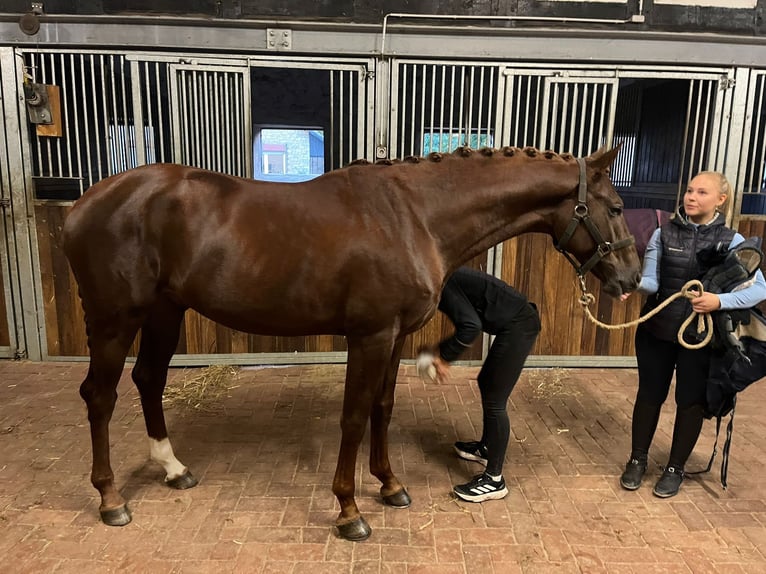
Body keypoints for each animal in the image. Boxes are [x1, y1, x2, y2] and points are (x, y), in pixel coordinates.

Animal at [64, 144, 640, 540]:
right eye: (614, 207)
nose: (632, 279)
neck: (414, 215)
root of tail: (84, 204)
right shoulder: (370, 336)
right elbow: (354, 417)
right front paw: (349, 510)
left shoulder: (395, 336)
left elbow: (382, 408)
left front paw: (389, 485)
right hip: (115, 320)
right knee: (100, 396)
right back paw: (111, 498)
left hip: (165, 312)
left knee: (148, 379)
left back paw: (174, 469)